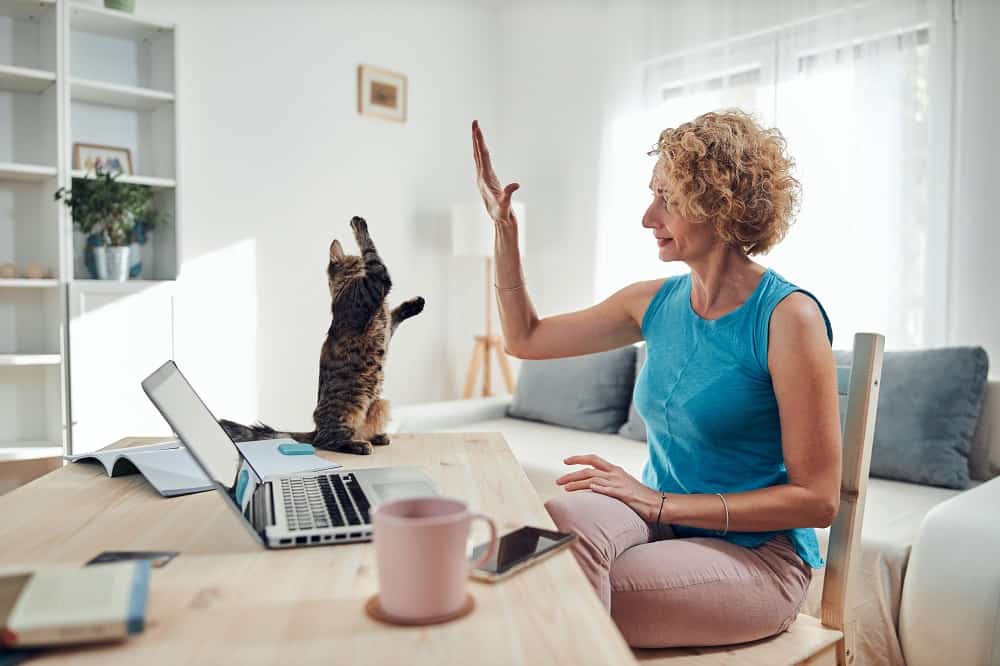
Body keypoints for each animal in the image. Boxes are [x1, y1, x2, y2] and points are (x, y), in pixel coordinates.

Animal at [217, 215, 424, 454]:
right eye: (357, 261)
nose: (359, 263)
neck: (344, 287)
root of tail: (314, 429)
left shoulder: (386, 328)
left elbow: (396, 314)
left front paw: (416, 304)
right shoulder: (374, 284)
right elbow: (371, 251)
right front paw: (359, 224)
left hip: (381, 403)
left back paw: (376, 437)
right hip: (352, 406)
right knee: (326, 441)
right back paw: (358, 445)